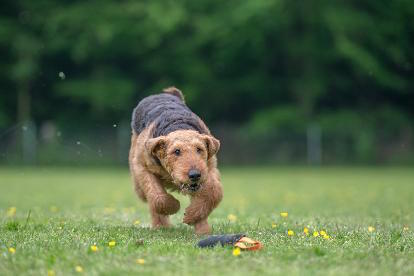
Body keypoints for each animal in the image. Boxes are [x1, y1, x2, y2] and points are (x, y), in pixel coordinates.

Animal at [129, 87, 223, 234]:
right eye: (176, 151)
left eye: (199, 149)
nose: (195, 175)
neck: (178, 125)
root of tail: (163, 94)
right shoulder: (142, 167)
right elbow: (158, 198)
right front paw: (174, 206)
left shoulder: (210, 168)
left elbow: (213, 192)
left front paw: (191, 216)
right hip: (137, 180)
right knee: (150, 200)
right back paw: (161, 227)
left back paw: (203, 230)